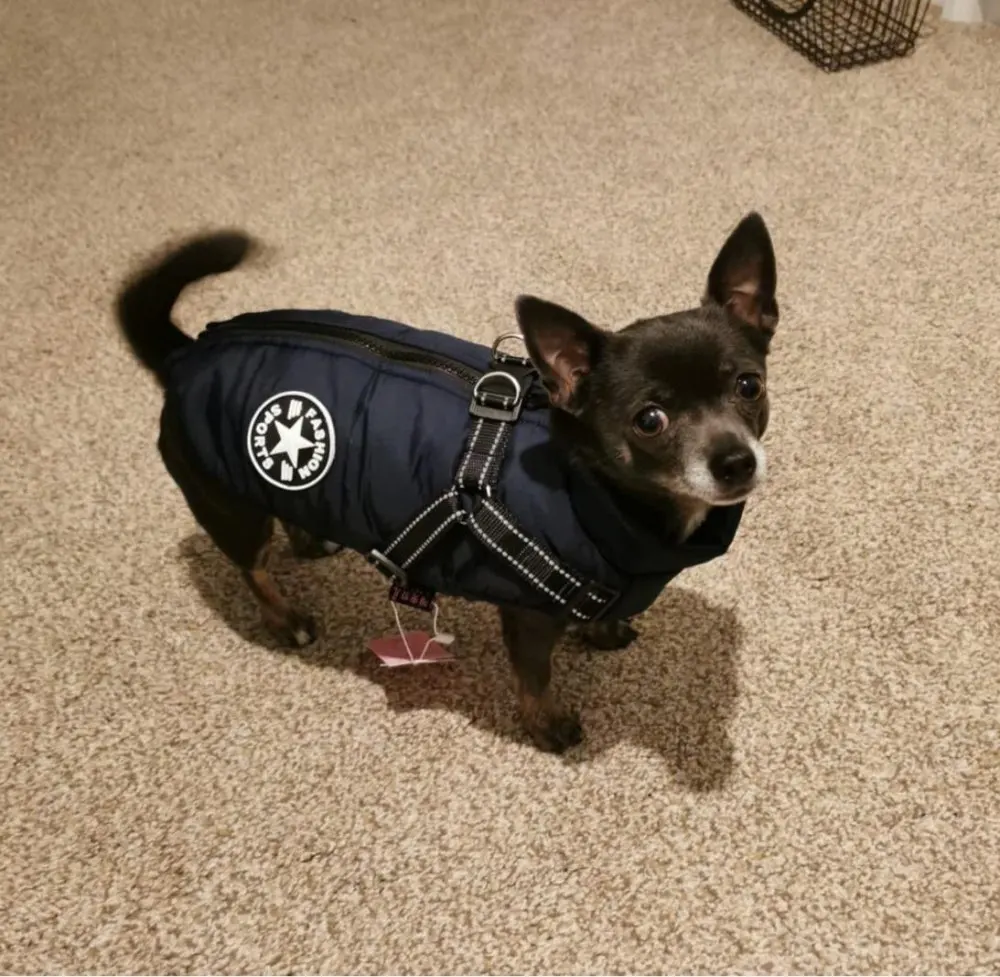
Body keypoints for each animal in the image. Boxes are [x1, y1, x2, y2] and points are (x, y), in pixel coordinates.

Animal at [115, 212, 778, 753]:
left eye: (749, 386)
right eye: (650, 420)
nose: (735, 461)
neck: (595, 492)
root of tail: (186, 354)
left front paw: (601, 629)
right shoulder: (528, 614)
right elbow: (535, 678)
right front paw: (548, 726)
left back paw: (309, 540)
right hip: (227, 505)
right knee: (252, 567)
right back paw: (285, 619)